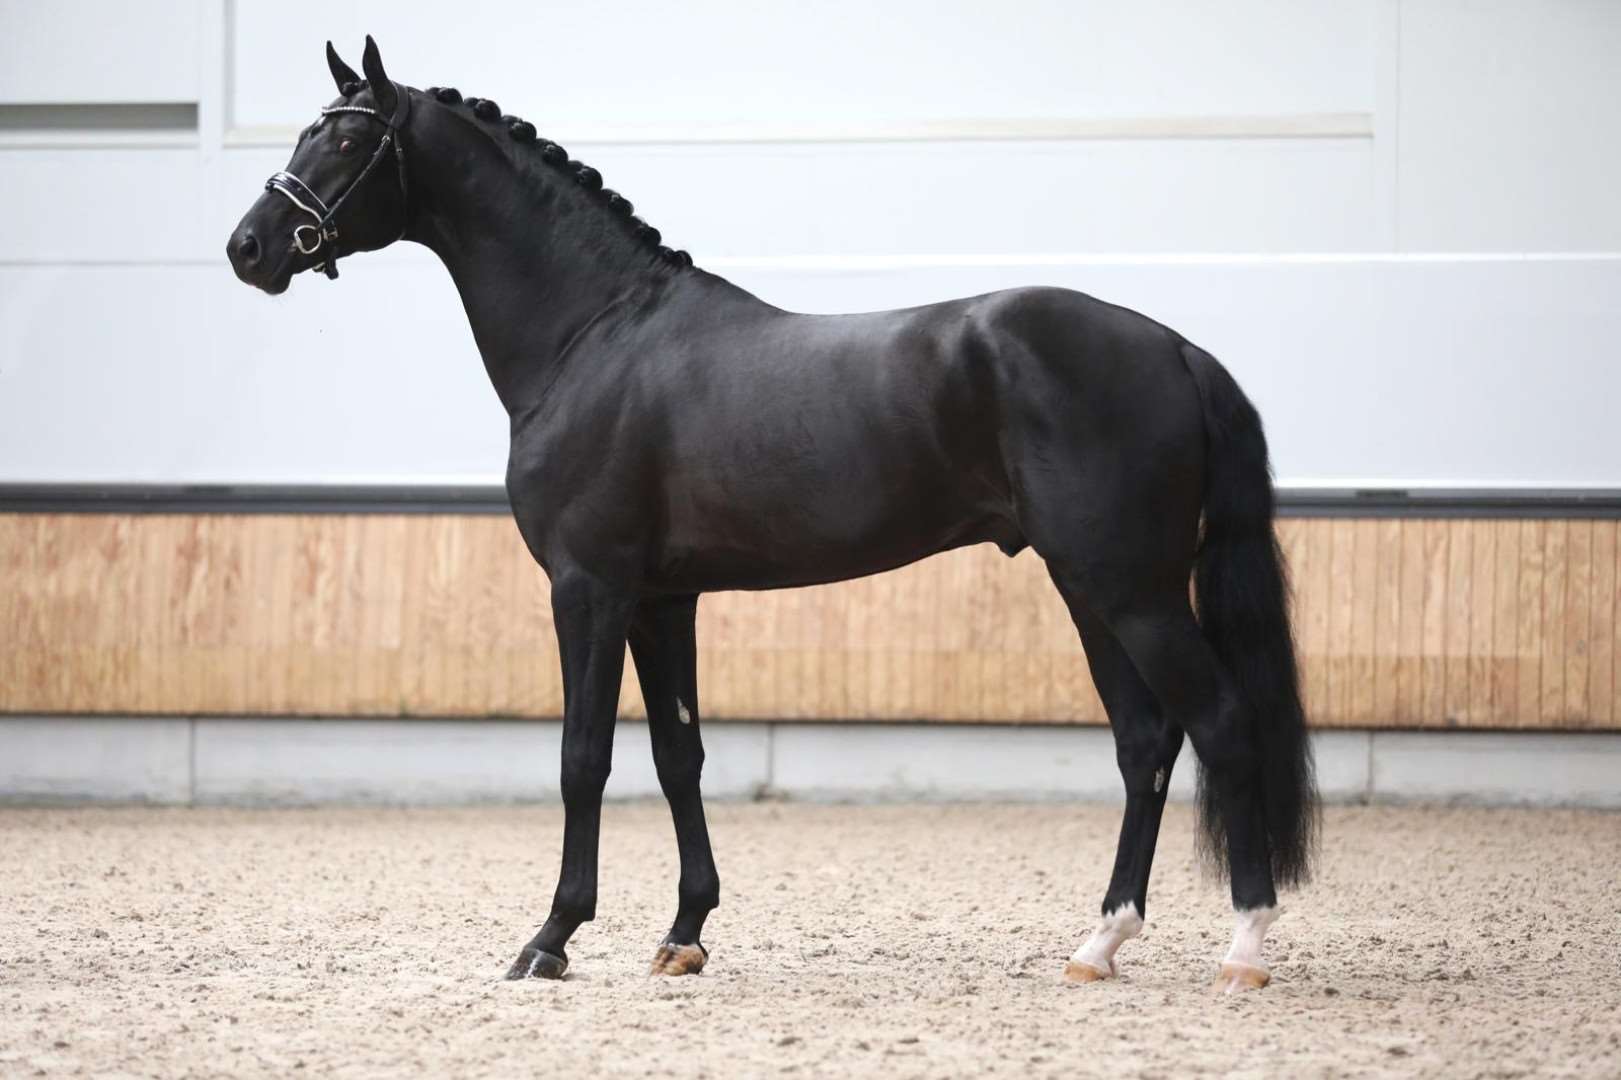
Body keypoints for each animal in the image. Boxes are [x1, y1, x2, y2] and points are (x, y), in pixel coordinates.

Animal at [227, 36, 1318, 992]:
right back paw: (1100, 943)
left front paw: (551, 939)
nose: (249, 247)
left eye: (344, 140)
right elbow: (678, 757)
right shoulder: (662, 600)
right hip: (1091, 589)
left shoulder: (589, 589)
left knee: (1219, 723)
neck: (595, 334)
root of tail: (1176, 350)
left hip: (1130, 591)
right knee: (1145, 743)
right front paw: (682, 936)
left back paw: (1243, 948)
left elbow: (584, 758)